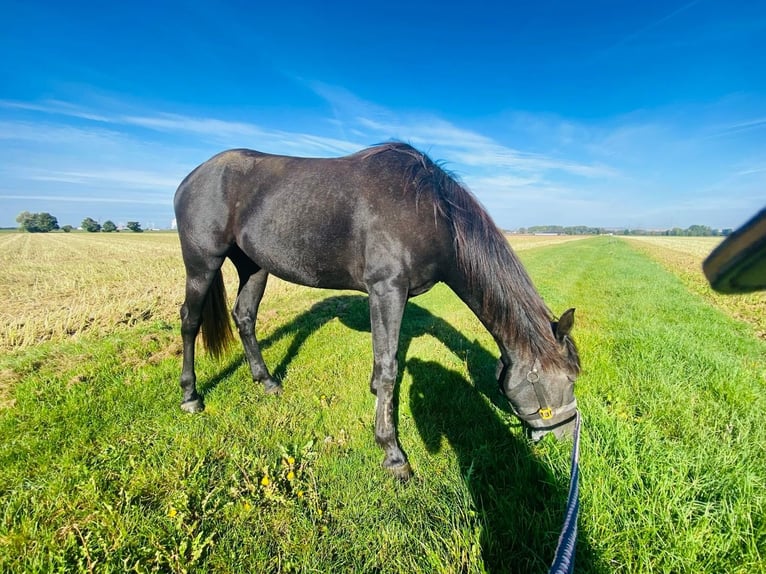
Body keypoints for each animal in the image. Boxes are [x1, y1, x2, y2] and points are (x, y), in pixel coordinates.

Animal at [173, 142, 580, 480]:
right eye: (570, 379)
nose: (568, 436)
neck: (429, 211)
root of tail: (191, 178)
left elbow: (385, 363)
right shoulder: (387, 289)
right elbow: (388, 369)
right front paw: (393, 453)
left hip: (254, 266)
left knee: (244, 316)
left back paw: (267, 380)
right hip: (202, 263)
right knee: (190, 321)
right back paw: (191, 396)